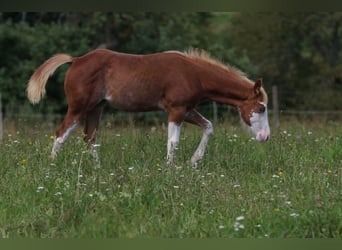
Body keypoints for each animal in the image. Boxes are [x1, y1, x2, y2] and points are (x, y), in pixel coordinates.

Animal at [26, 48, 270, 166]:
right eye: (261, 108)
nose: (265, 137)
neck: (194, 75)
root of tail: (76, 60)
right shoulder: (176, 110)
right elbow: (173, 142)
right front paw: (170, 170)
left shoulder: (186, 109)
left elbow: (208, 127)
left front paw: (193, 161)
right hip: (79, 107)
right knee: (61, 134)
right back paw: (52, 168)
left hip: (96, 108)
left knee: (90, 138)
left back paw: (97, 170)